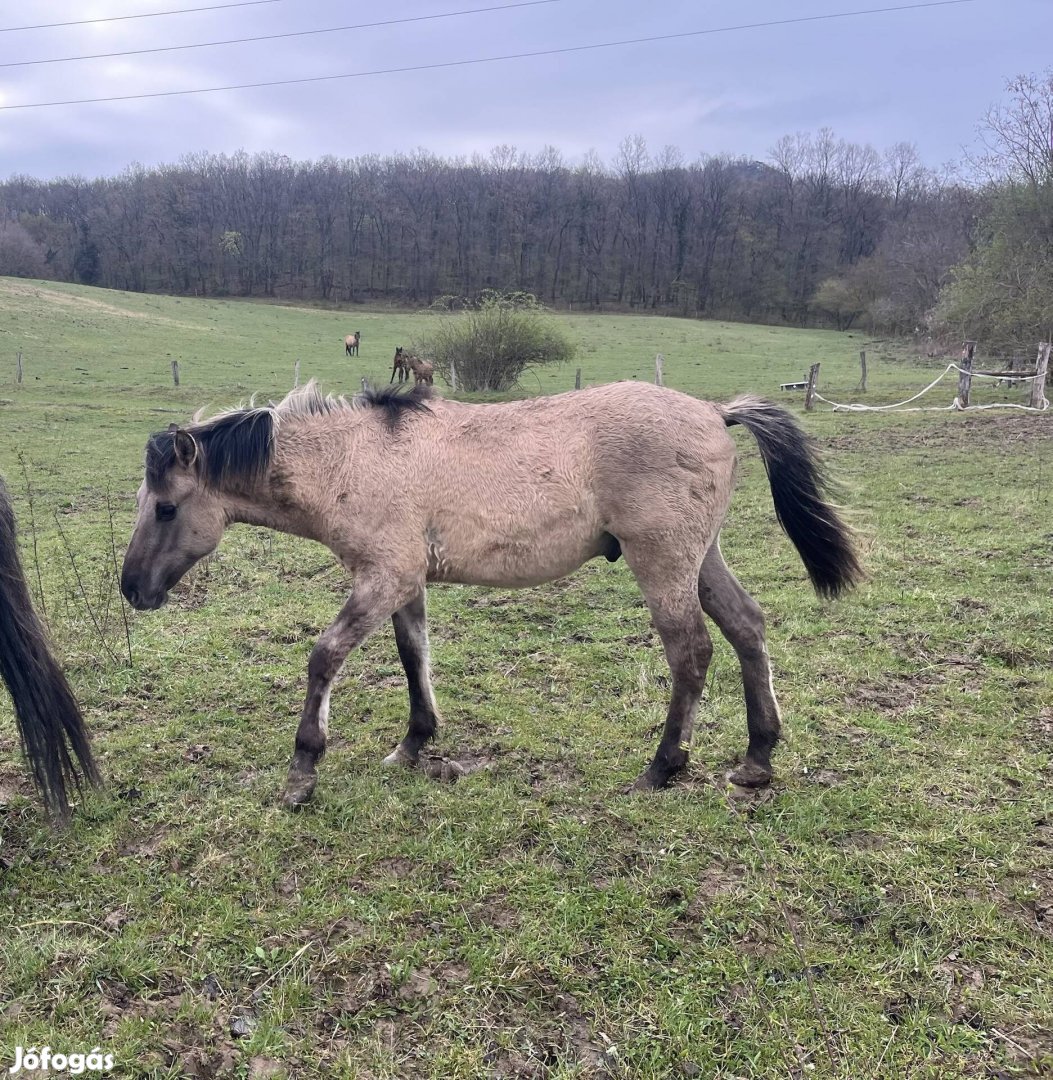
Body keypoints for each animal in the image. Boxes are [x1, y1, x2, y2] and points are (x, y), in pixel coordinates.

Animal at [121, 380, 862, 810]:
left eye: (165, 507)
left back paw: (662, 767)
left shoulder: (381, 577)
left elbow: (323, 658)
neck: (353, 459)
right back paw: (757, 759)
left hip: (663, 565)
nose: (132, 590)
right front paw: (414, 744)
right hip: (699, 559)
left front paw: (302, 773)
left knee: (691, 654)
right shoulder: (405, 581)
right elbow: (413, 656)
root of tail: (715, 410)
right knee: (746, 627)